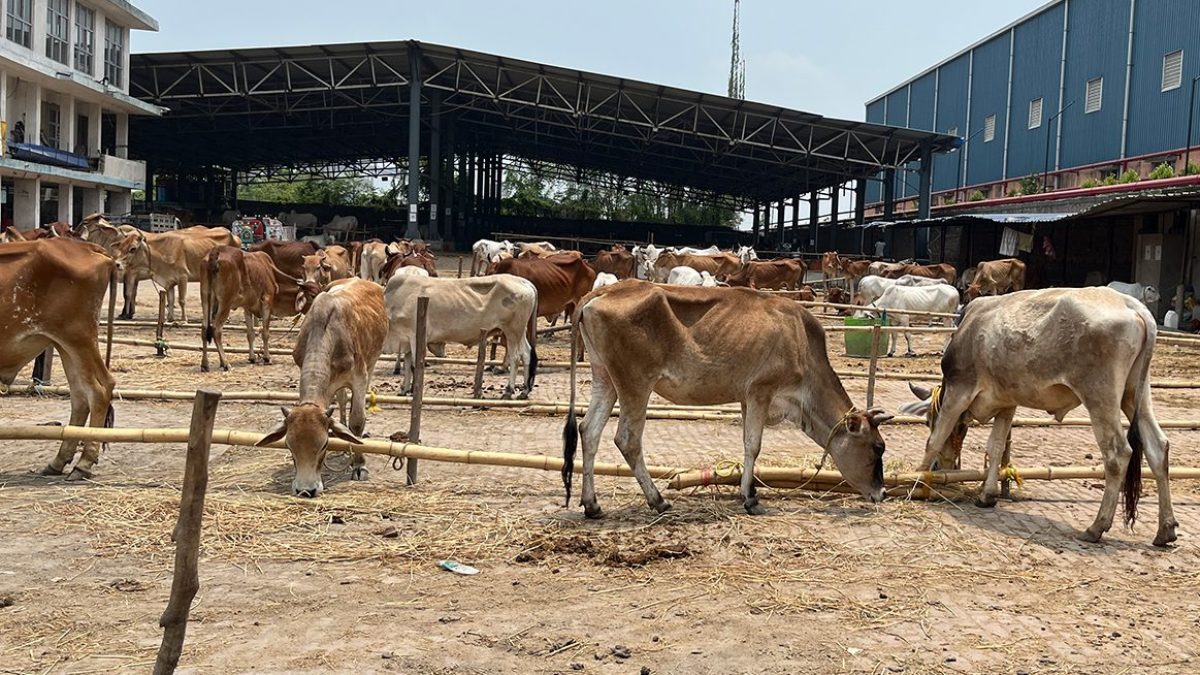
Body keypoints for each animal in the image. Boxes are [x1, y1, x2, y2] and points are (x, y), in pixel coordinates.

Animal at [1, 238, 115, 480]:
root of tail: (89, 247)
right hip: (64, 345)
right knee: (80, 396)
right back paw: (59, 462)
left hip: (78, 337)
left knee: (100, 389)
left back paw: (83, 464)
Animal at [255, 279, 388, 497]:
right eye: (288, 445)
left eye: (324, 444)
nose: (305, 490)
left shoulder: (359, 378)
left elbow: (357, 422)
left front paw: (359, 465)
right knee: (342, 400)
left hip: (372, 362)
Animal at [384, 274, 538, 398]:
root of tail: (523, 281)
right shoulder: (406, 340)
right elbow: (407, 363)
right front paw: (404, 389)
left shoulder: (416, 336)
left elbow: (414, 365)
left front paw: (413, 391)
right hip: (519, 332)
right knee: (526, 354)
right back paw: (524, 391)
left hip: (512, 330)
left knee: (515, 357)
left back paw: (509, 390)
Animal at [561, 281, 893, 517]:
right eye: (877, 447)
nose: (882, 493)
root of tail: (603, 291)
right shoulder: (761, 390)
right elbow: (753, 445)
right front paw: (750, 499)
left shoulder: (747, 397)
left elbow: (747, 445)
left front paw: (750, 492)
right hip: (636, 383)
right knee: (627, 439)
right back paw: (658, 500)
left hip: (605, 378)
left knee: (589, 430)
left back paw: (592, 505)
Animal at [897, 287, 1176, 546]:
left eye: (927, 421)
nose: (940, 468)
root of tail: (1133, 306)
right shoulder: (1007, 403)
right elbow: (995, 447)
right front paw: (987, 495)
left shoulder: (959, 391)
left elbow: (935, 440)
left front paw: (916, 482)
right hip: (1135, 394)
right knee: (1158, 447)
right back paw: (1166, 529)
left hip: (1100, 396)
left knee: (1118, 454)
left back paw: (1096, 527)